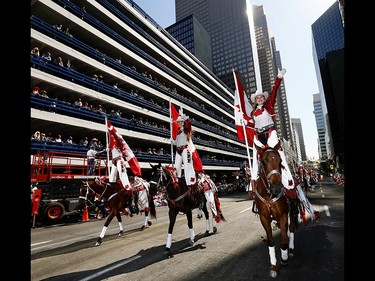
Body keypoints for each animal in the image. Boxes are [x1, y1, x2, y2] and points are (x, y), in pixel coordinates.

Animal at [253, 142, 300, 278]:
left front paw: (284, 259)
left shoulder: (283, 215)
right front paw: (273, 266)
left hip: (292, 211)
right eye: (263, 162)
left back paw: (290, 249)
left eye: (280, 161)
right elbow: (270, 241)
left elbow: (283, 241)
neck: (269, 195)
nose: (277, 188)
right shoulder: (264, 218)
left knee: (292, 228)